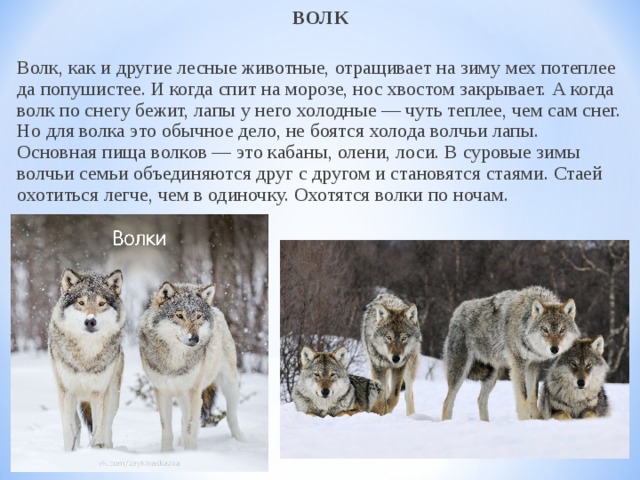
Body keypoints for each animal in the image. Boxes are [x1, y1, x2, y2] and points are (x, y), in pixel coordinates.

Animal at [48, 268, 125, 451]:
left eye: (101, 304)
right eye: (81, 303)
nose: (90, 321)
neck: (86, 354)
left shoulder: (98, 392)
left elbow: (99, 428)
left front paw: (97, 450)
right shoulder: (66, 391)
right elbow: (69, 430)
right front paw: (69, 452)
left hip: (112, 396)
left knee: (108, 426)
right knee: (77, 425)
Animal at [138, 281, 243, 451]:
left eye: (198, 316)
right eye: (179, 315)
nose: (195, 338)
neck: (174, 361)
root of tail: (216, 309)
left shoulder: (192, 393)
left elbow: (190, 427)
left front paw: (189, 453)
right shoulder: (162, 392)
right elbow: (167, 430)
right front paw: (167, 453)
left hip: (229, 386)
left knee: (231, 417)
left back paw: (241, 441)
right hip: (182, 395)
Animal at [442, 286, 580, 421]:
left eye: (562, 330)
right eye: (545, 329)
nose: (554, 349)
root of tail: (457, 312)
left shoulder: (533, 365)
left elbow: (533, 395)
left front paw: (536, 419)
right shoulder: (518, 364)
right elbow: (523, 396)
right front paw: (525, 420)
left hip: (491, 376)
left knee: (480, 399)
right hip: (460, 371)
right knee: (448, 400)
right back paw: (447, 422)